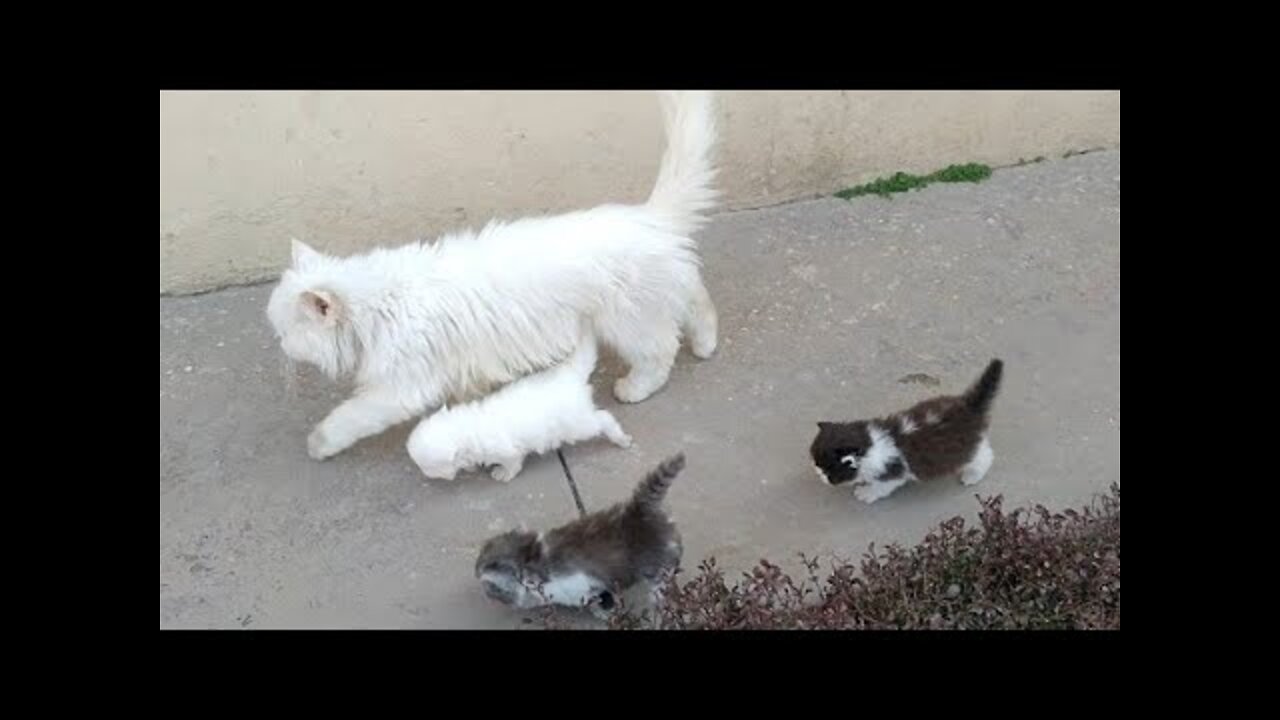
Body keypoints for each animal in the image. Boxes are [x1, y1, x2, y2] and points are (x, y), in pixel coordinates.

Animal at [262, 90, 721, 458]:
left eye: (285, 331)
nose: (280, 345)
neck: (379, 306)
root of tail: (649, 217)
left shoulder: (400, 388)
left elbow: (349, 417)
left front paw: (319, 443)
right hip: (660, 294)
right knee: (698, 302)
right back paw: (707, 344)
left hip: (628, 321)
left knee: (660, 351)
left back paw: (636, 387)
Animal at [404, 326, 629, 481]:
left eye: (426, 467)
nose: (424, 474)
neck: (464, 428)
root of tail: (570, 375)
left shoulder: (507, 451)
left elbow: (512, 464)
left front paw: (502, 473)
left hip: (577, 424)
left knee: (603, 419)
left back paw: (621, 438)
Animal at [476, 453, 686, 617]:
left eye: (492, 588)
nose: (476, 573)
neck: (532, 557)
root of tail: (637, 511)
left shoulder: (585, 588)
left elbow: (600, 601)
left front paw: (605, 612)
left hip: (658, 570)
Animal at [814, 356, 1003, 502]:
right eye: (817, 464)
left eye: (828, 471)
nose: (819, 474)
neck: (868, 444)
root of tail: (968, 406)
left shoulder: (892, 474)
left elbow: (881, 486)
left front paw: (866, 493)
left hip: (963, 449)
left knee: (984, 456)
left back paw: (973, 475)